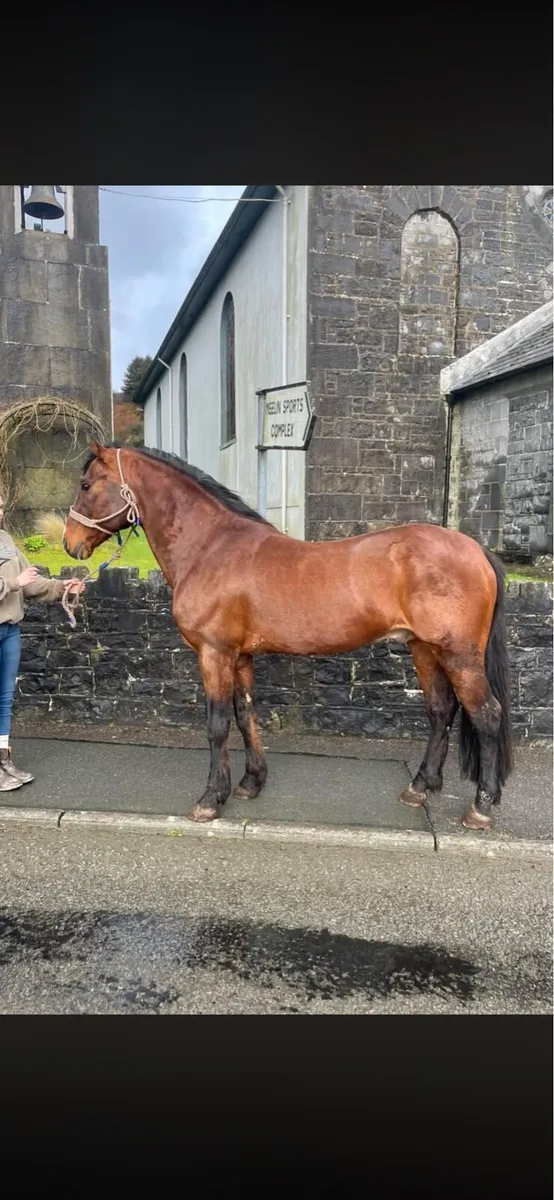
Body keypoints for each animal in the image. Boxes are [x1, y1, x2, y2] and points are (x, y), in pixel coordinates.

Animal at [62, 441, 514, 832]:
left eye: (86, 485)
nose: (69, 543)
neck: (210, 548)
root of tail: (476, 550)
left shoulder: (214, 653)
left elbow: (217, 724)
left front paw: (211, 799)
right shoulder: (240, 656)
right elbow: (245, 714)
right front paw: (250, 782)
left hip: (458, 654)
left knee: (487, 714)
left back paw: (480, 807)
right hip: (424, 649)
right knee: (441, 710)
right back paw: (420, 787)